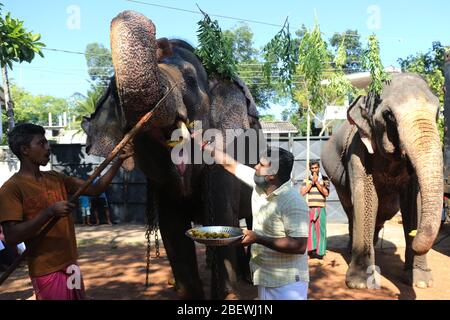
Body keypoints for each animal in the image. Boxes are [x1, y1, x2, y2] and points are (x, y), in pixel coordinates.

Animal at [82, 10, 262, 300]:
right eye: (117, 96)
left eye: (190, 80)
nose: (160, 39)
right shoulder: (161, 185)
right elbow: (173, 231)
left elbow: (224, 219)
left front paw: (227, 295)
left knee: (248, 220)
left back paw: (246, 279)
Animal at [320, 73, 442, 290]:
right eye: (389, 115)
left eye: (437, 113)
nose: (414, 235)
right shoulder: (357, 150)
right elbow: (366, 198)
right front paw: (359, 283)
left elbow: (414, 203)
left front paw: (420, 281)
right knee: (350, 208)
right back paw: (351, 250)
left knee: (384, 211)